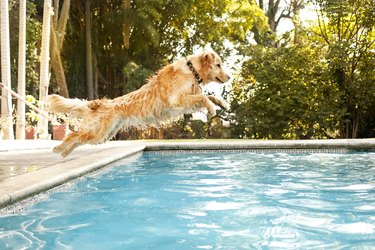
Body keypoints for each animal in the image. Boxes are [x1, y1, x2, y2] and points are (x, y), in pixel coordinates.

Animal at [48, 50, 231, 156]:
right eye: (218, 65)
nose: (229, 77)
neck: (192, 71)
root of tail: (101, 103)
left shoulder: (187, 100)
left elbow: (207, 96)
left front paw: (222, 104)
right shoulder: (176, 100)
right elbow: (204, 97)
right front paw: (212, 109)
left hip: (102, 136)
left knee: (78, 138)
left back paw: (64, 152)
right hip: (98, 132)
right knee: (73, 135)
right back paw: (59, 149)